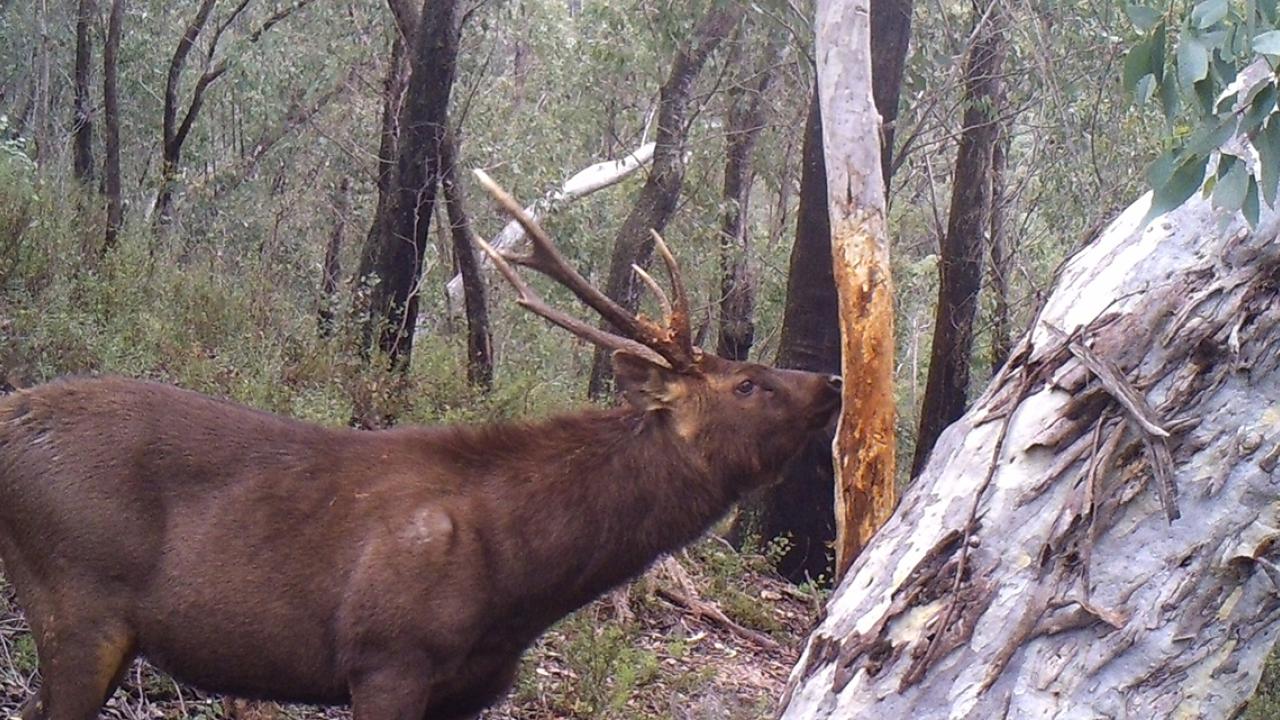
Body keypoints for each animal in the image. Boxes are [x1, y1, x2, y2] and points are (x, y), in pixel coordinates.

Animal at [0, 170, 844, 717]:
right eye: (747, 384)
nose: (832, 380)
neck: (524, 580)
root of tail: (14, 412)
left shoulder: (467, 691)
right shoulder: (389, 658)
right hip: (75, 598)